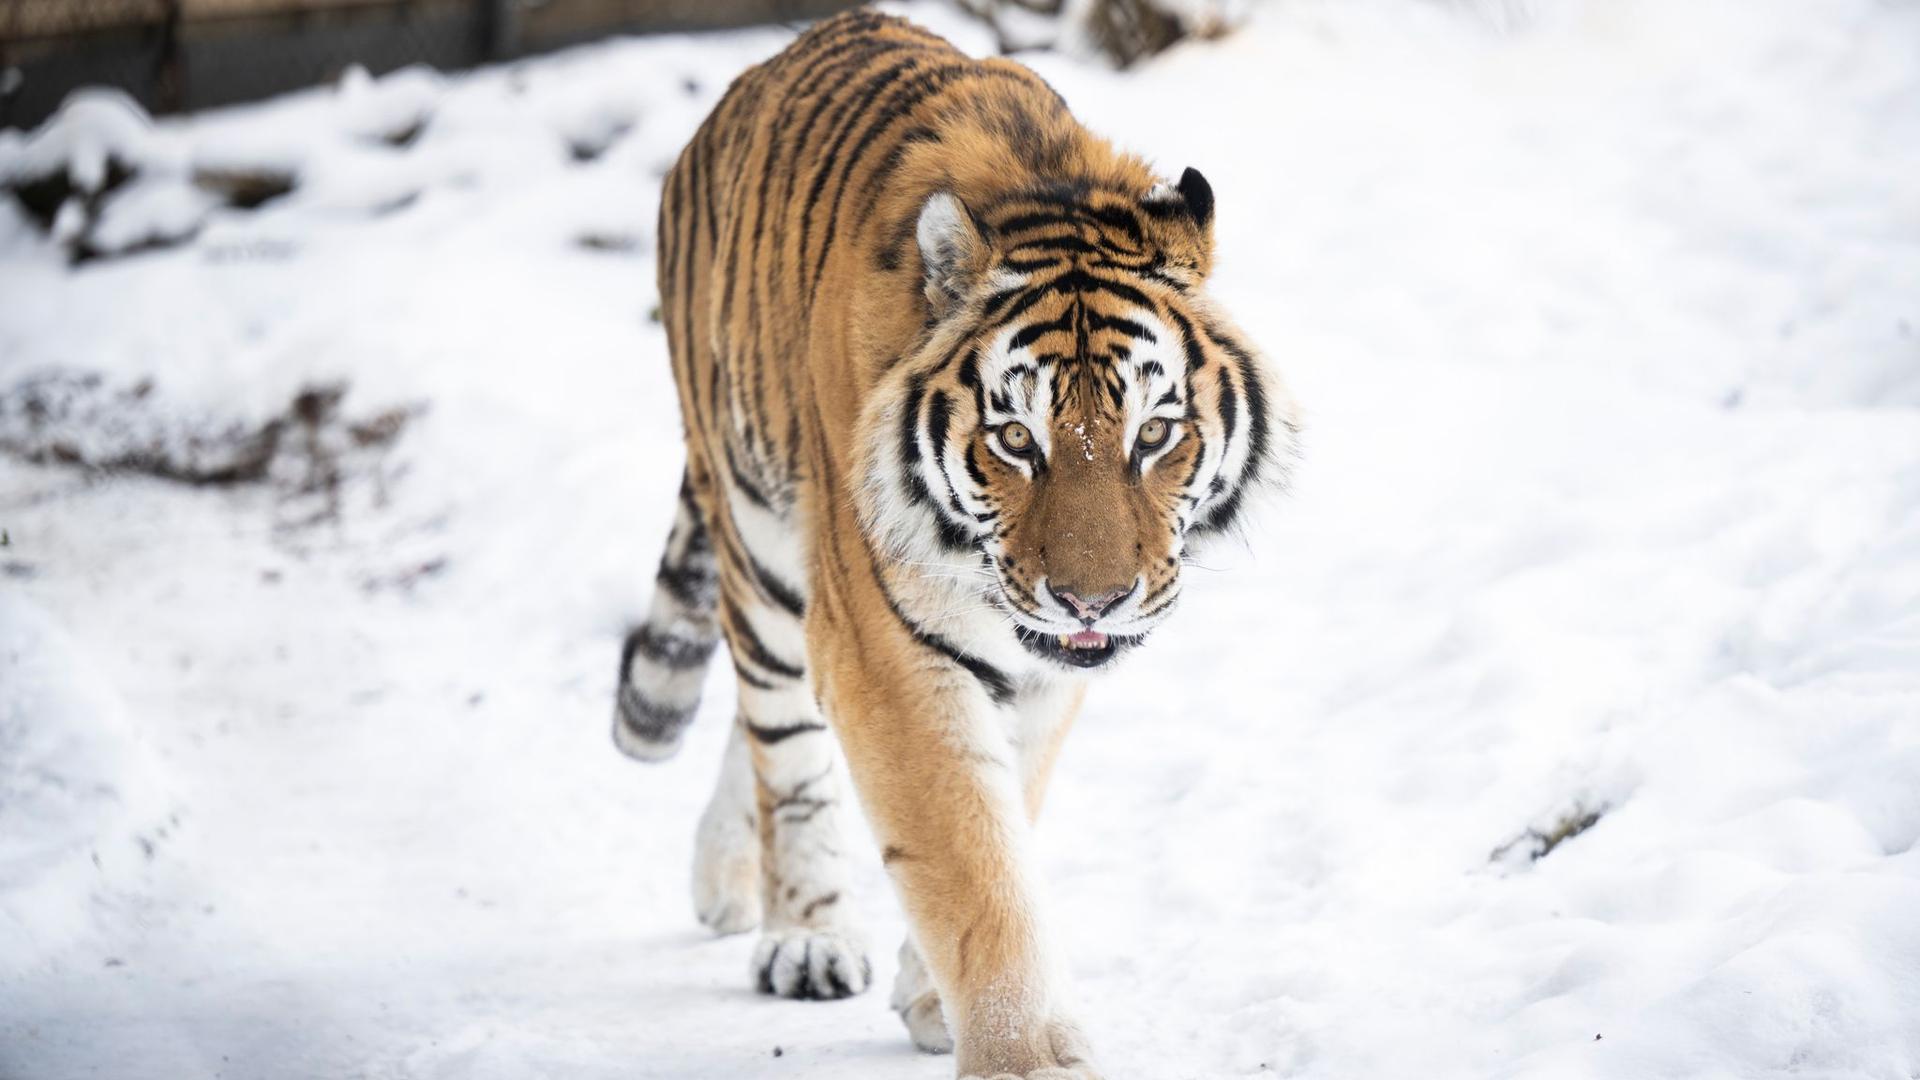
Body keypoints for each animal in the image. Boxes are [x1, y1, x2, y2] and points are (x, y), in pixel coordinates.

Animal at [610, 9, 1297, 1077]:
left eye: (1153, 434)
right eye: (1016, 438)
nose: (1093, 602)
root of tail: (753, 76)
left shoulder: (1039, 672)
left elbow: (1005, 808)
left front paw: (932, 994)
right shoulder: (885, 644)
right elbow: (970, 857)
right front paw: (1026, 1054)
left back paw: (724, 876)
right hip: (761, 539)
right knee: (779, 734)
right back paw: (803, 935)